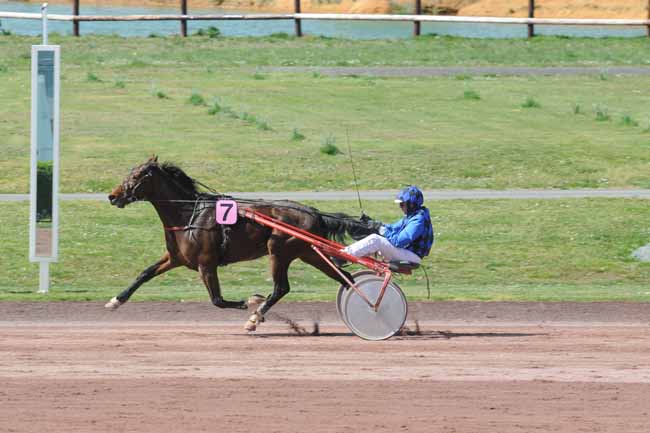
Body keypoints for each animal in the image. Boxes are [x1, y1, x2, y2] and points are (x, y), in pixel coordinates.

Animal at [104, 157, 378, 330]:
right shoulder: (176, 258)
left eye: (137, 176)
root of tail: (314, 212)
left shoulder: (206, 263)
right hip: (308, 253)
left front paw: (252, 301)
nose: (112, 196)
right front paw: (115, 301)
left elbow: (217, 300)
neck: (188, 216)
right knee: (345, 278)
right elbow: (144, 273)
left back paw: (254, 319)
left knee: (281, 288)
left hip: (279, 250)